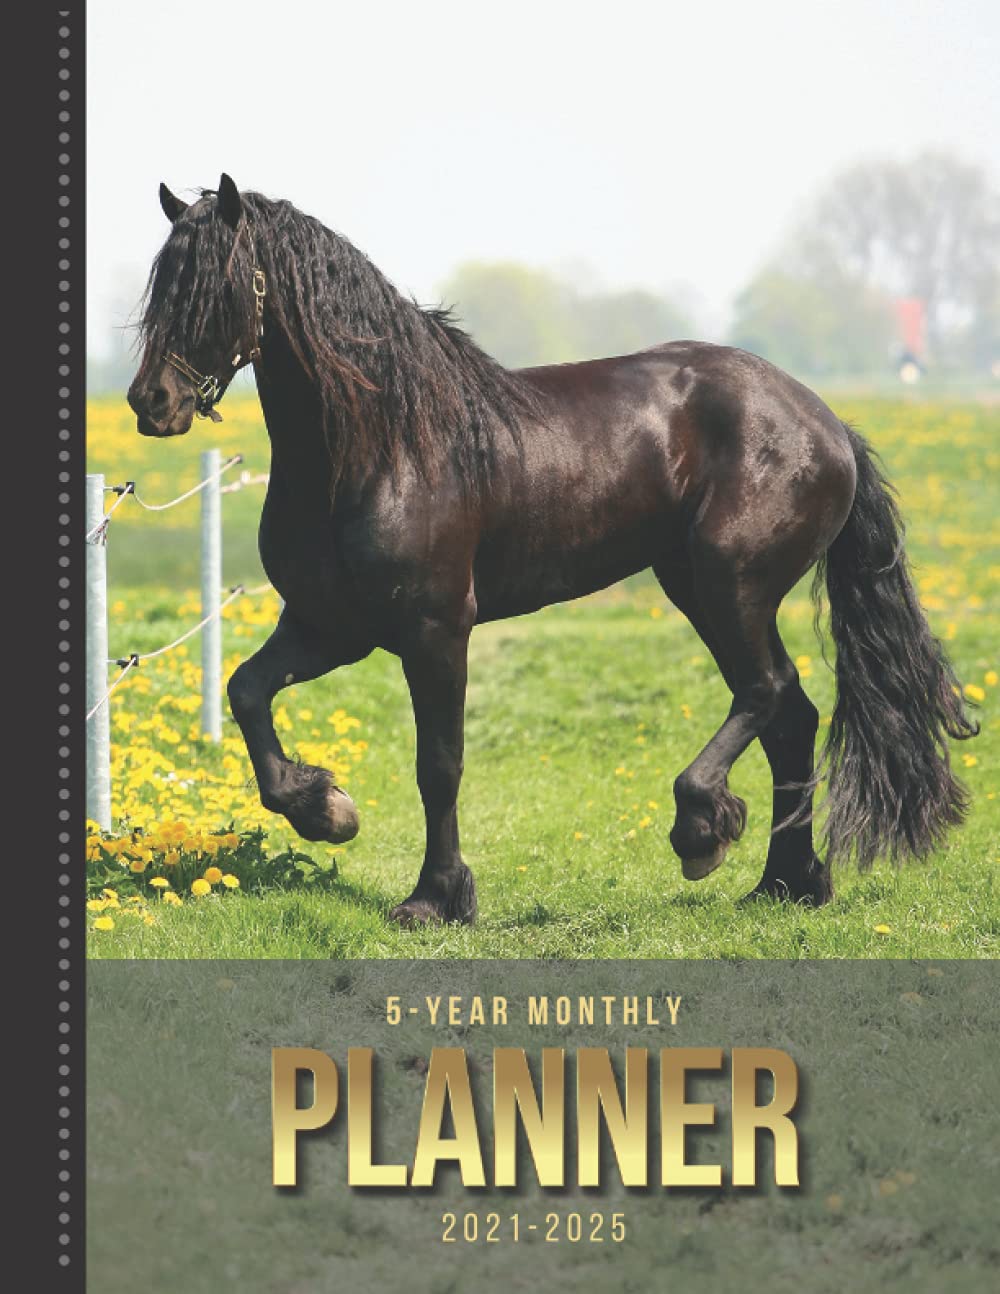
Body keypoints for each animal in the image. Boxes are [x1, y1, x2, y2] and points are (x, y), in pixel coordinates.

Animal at [127, 174, 977, 926]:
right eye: (160, 283)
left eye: (212, 286)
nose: (150, 403)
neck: (381, 446)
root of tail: (825, 423)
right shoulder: (330, 626)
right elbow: (246, 691)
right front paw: (327, 810)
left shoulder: (434, 631)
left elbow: (438, 765)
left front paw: (435, 899)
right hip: (701, 589)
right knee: (788, 714)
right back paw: (786, 884)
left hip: (730, 583)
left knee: (768, 692)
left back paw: (702, 832)